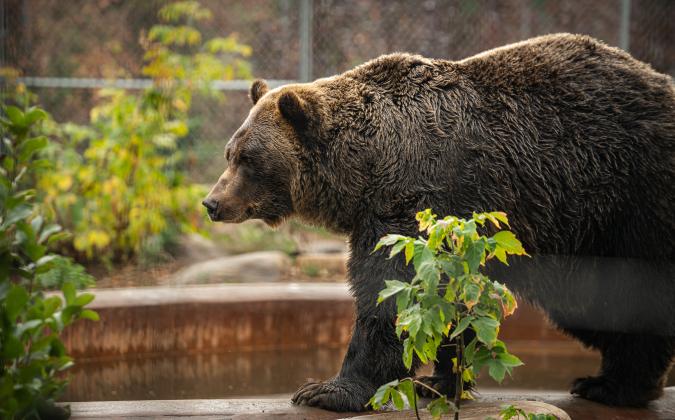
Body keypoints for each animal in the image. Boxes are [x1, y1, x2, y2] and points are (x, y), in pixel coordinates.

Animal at [202, 33, 675, 411]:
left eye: (248, 159)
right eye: (230, 153)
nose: (212, 202)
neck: (365, 170)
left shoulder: (417, 202)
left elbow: (391, 294)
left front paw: (326, 390)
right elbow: (446, 299)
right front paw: (439, 380)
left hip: (625, 198)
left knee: (624, 295)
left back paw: (615, 386)